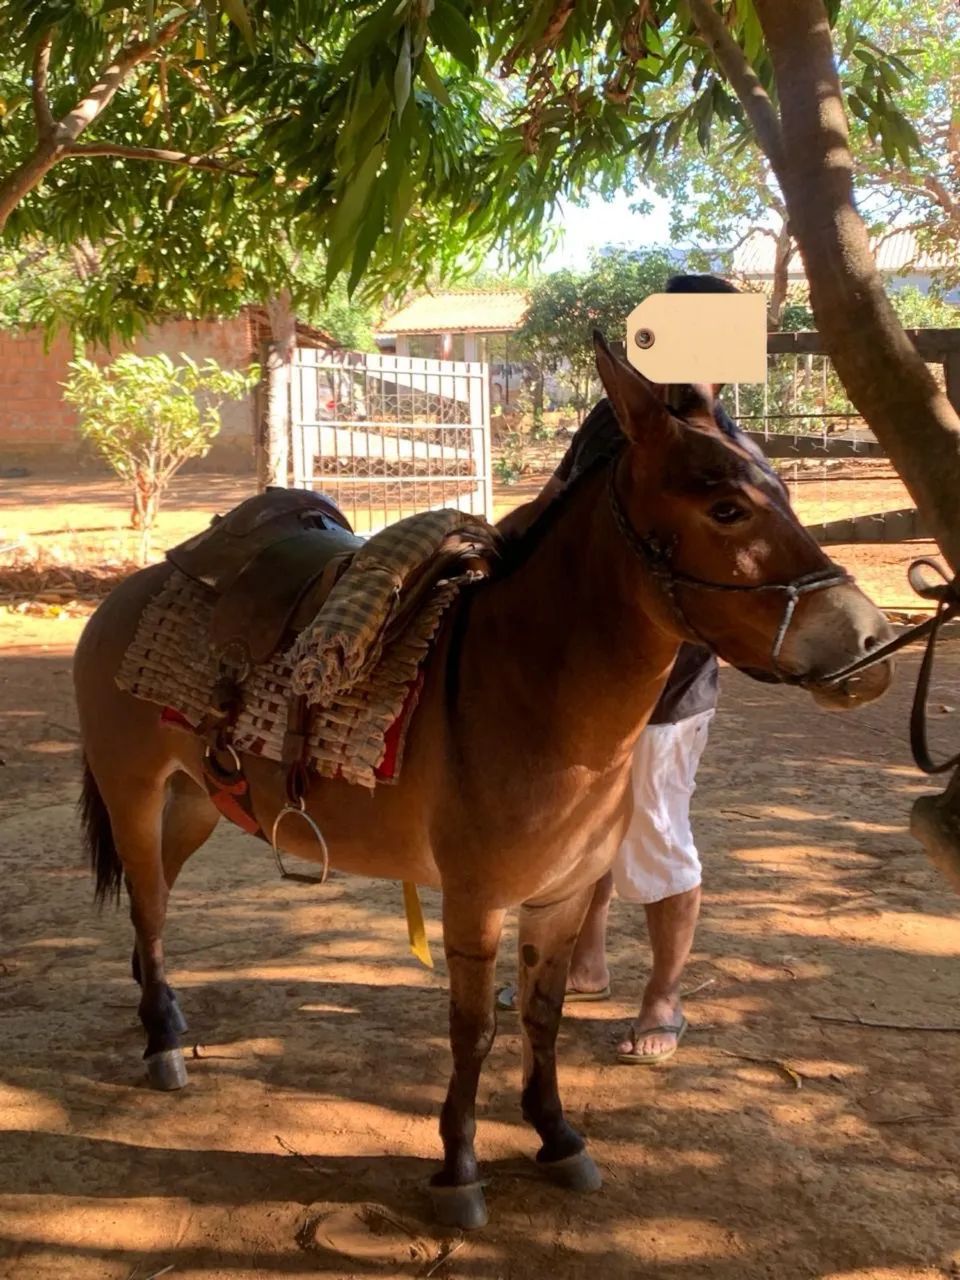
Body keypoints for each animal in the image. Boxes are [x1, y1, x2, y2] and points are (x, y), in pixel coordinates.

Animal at [74, 335, 894, 1229]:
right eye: (728, 510)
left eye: (783, 491)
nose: (871, 642)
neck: (531, 690)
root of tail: (130, 591)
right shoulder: (473, 903)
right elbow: (473, 1032)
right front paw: (460, 1166)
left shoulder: (561, 900)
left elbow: (544, 1017)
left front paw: (556, 1135)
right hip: (133, 791)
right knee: (149, 909)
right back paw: (162, 1043)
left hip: (195, 802)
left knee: (155, 906)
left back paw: (162, 1009)